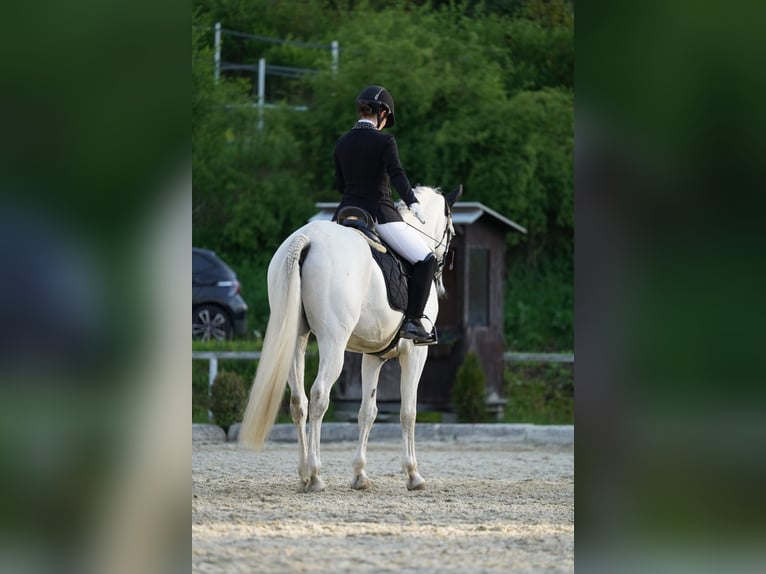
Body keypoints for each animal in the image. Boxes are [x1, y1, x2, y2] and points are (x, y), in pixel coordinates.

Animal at [240, 187, 460, 492]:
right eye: (452, 230)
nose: (441, 286)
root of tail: (306, 238)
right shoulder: (415, 353)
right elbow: (408, 412)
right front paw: (413, 474)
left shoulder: (373, 356)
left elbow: (368, 411)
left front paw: (360, 474)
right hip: (333, 343)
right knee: (319, 396)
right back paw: (315, 475)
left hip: (296, 340)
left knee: (298, 402)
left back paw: (303, 474)